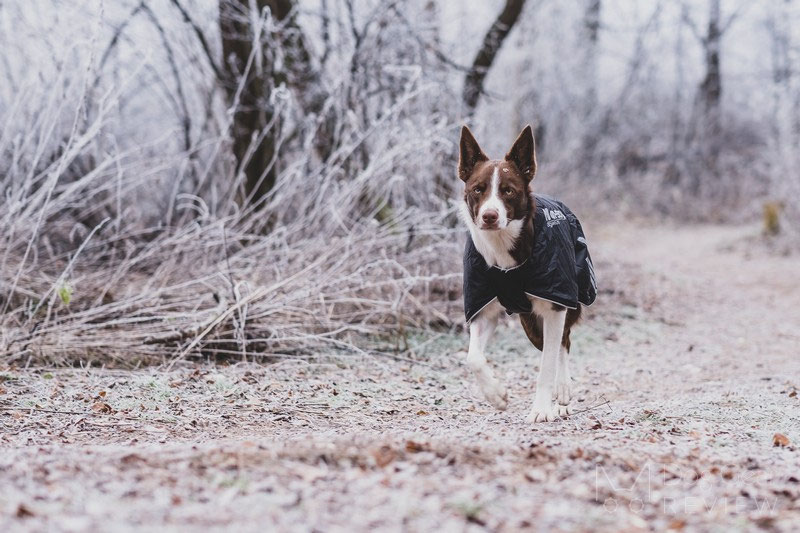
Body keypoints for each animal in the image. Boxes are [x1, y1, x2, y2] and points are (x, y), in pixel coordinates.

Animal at [456, 123, 592, 420]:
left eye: (508, 191)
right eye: (478, 189)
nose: (490, 216)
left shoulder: (555, 304)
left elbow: (547, 364)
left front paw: (542, 409)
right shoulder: (483, 308)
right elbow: (473, 358)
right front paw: (495, 394)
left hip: (568, 298)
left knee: (563, 342)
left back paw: (562, 393)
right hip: (529, 322)